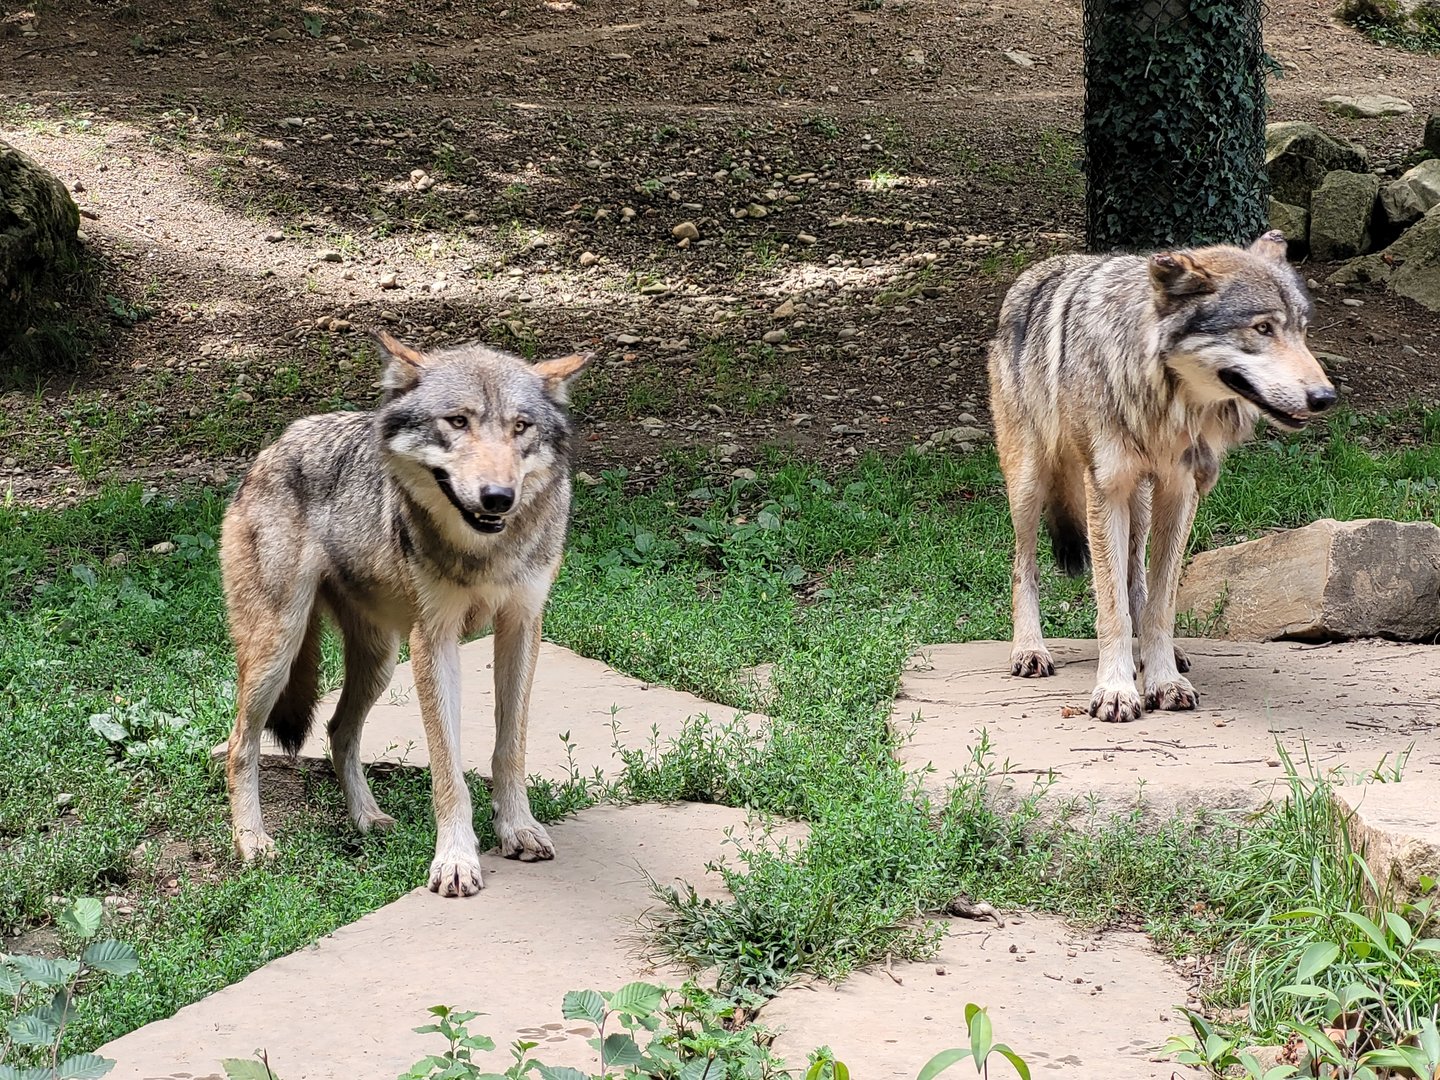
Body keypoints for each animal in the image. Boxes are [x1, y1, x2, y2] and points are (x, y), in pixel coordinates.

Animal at [220, 332, 590, 896]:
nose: (498, 498)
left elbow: (510, 748)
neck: (485, 553)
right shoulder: (433, 641)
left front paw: (518, 829)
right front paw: (456, 859)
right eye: (457, 421)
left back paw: (366, 818)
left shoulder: (522, 628)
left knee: (338, 731)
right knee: (241, 743)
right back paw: (253, 842)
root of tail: (277, 443)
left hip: (380, 661)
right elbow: (448, 767)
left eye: (520, 427)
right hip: (278, 653)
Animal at [987, 230, 1336, 723]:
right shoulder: (1106, 489)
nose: (1326, 397)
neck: (1167, 402)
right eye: (1263, 328)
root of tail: (1038, 269)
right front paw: (1115, 690)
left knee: (1137, 579)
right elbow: (1111, 607)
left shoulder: (1180, 491)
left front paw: (1163, 679)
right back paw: (1029, 650)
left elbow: (1159, 603)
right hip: (1029, 484)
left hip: (1141, 502)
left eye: (1302, 331)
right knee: (1024, 569)